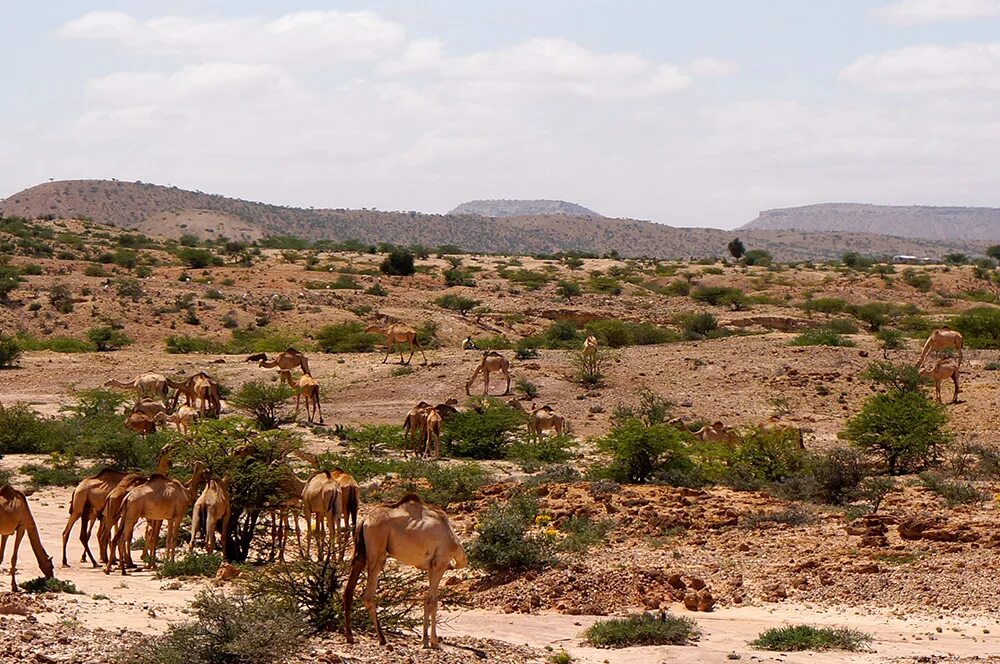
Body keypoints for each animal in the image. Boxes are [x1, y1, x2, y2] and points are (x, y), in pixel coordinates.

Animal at [344, 496, 468, 652]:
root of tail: (365, 520)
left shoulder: (431, 567)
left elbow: (434, 600)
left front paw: (431, 641)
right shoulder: (440, 562)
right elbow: (430, 601)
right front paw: (428, 641)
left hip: (361, 551)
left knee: (348, 589)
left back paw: (350, 636)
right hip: (377, 547)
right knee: (368, 595)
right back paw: (382, 638)